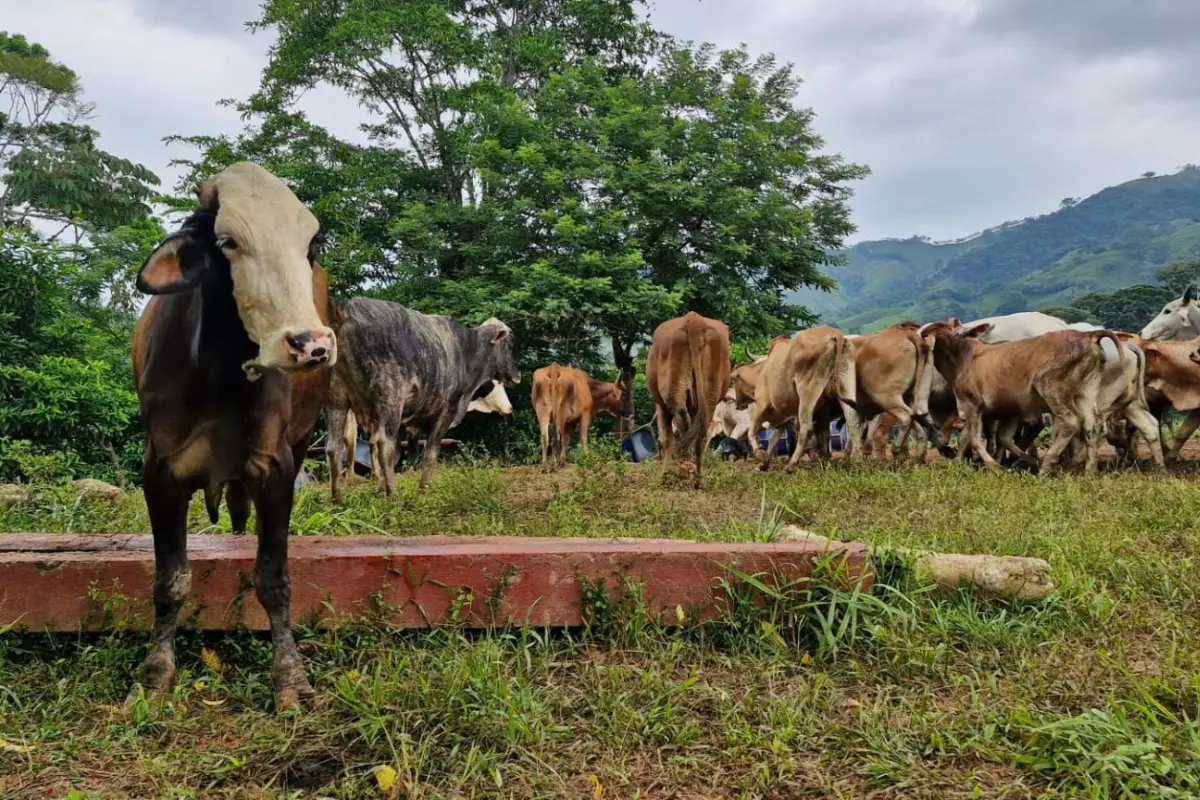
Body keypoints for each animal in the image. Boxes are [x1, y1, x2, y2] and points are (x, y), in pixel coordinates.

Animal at [326, 298, 518, 501]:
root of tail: (346, 310)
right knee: (384, 445)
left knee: (334, 447)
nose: (517, 377)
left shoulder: (410, 421)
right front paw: (422, 488)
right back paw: (394, 496)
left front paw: (380, 490)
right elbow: (429, 452)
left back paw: (337, 500)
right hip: (390, 397)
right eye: (510, 343)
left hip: (336, 400)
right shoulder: (445, 411)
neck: (466, 350)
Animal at [648, 311, 729, 489]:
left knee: (681, 419)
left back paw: (683, 470)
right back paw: (697, 479)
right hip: (710, 393)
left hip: (672, 390)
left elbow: (666, 438)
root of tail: (694, 322)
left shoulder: (660, 405)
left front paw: (663, 475)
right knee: (701, 434)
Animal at [724, 326, 859, 472]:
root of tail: (834, 334)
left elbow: (752, 432)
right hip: (846, 387)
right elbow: (774, 439)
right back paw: (854, 459)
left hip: (807, 392)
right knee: (853, 421)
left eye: (734, 379)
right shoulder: (787, 418)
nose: (738, 404)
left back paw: (792, 464)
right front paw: (764, 463)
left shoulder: (761, 405)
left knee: (806, 428)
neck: (761, 372)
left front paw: (761, 455)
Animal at [916, 321, 1123, 474]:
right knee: (1092, 426)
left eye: (925, 333)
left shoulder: (971, 405)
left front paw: (994, 467)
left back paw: (1046, 468)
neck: (963, 358)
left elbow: (973, 438)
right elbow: (1004, 438)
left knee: (1071, 423)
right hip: (1086, 392)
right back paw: (1089, 471)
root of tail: (1088, 335)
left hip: (1053, 390)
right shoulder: (1010, 411)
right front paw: (1026, 460)